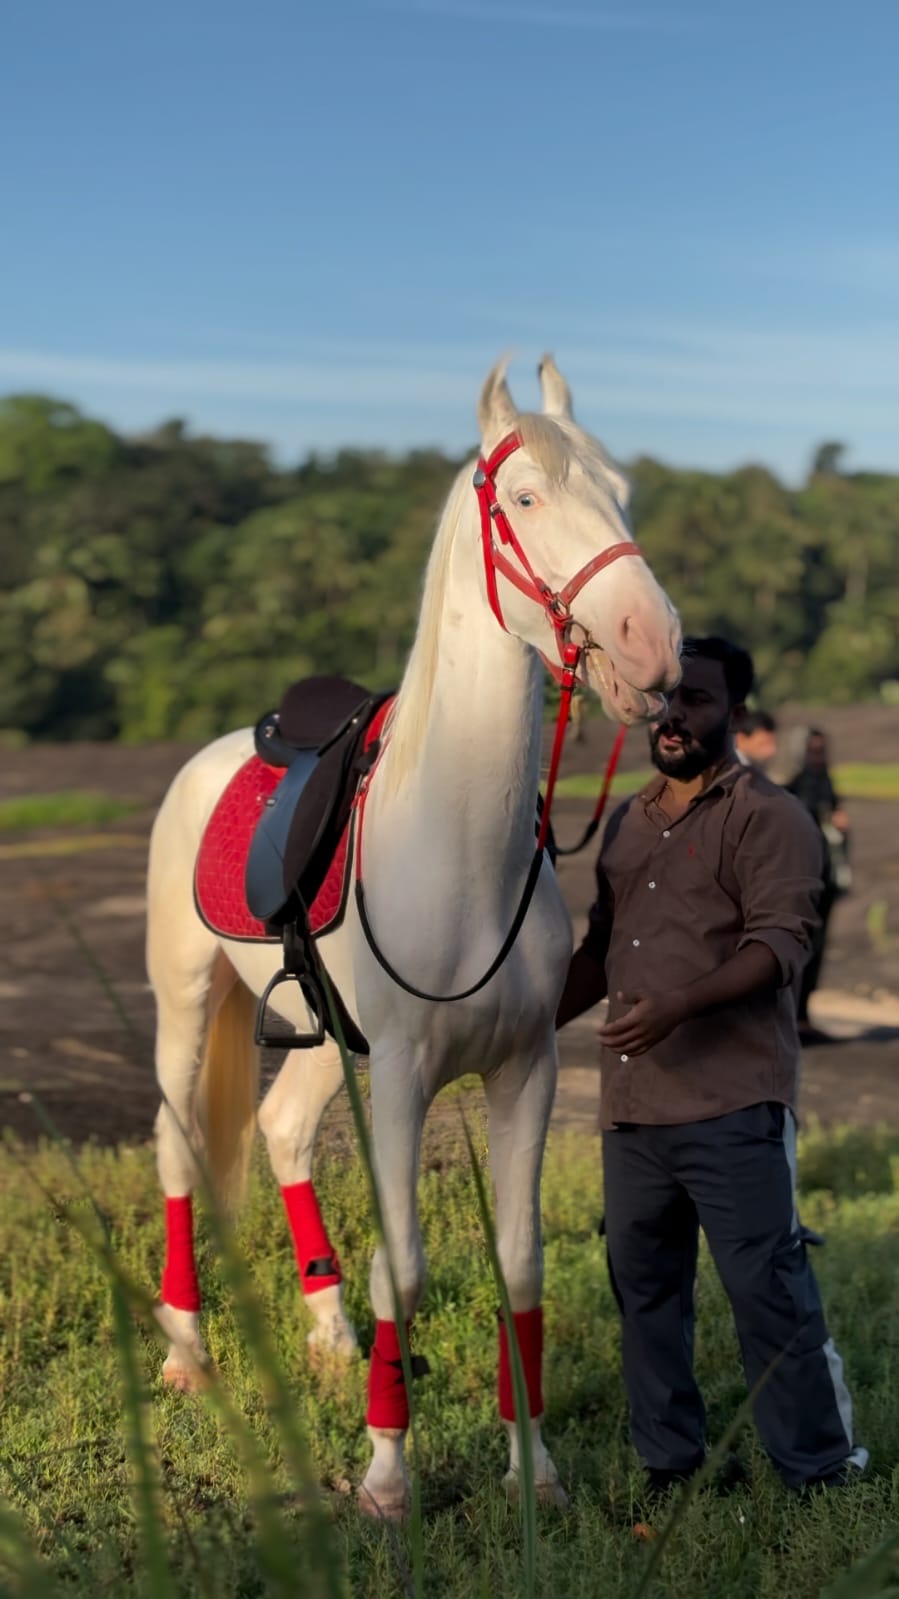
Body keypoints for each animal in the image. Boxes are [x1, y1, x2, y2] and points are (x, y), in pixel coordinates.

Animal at [146, 355, 681, 1518]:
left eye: (622, 494)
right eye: (521, 500)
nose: (651, 644)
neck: (459, 854)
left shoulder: (524, 1070)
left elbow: (518, 1262)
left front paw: (533, 1468)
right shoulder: (397, 1080)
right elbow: (408, 1266)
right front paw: (387, 1473)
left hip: (318, 1036)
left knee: (281, 1131)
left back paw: (326, 1330)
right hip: (186, 1004)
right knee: (176, 1145)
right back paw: (187, 1350)